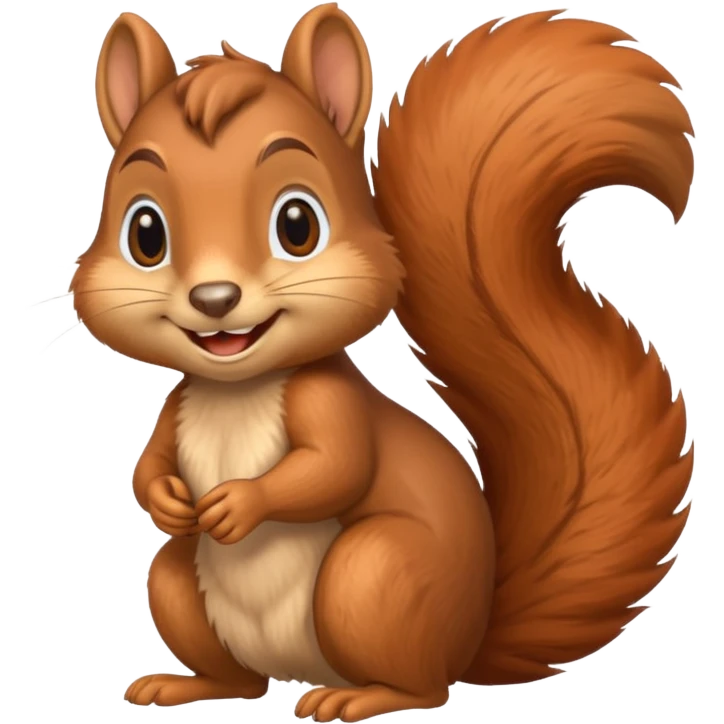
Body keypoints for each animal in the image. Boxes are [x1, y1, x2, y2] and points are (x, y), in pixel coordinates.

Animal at [79, 5, 695, 720]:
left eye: (298, 225)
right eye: (144, 233)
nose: (214, 300)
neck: (237, 386)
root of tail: (471, 636)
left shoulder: (330, 402)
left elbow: (334, 468)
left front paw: (240, 502)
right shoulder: (177, 404)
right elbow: (148, 465)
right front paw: (169, 502)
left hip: (372, 576)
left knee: (424, 687)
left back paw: (358, 698)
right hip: (183, 586)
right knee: (235, 670)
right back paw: (188, 683)